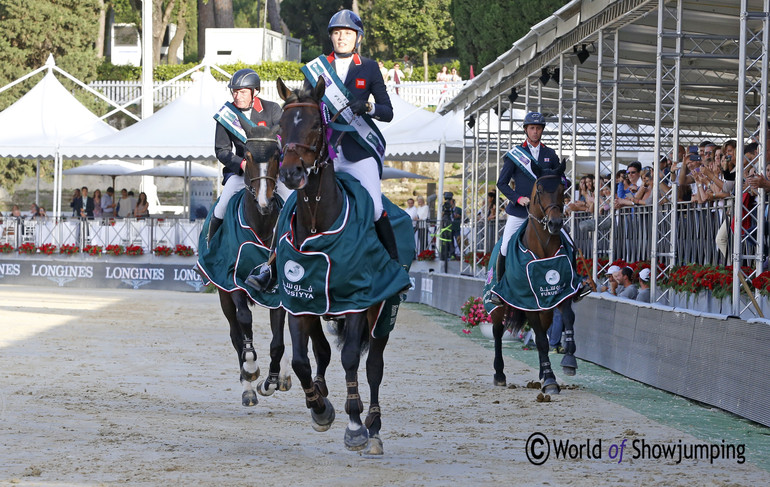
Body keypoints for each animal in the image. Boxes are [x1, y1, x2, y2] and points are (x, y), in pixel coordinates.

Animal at [207, 124, 292, 406]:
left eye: (277, 156)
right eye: (249, 156)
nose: (265, 202)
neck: (262, 223)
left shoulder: (279, 290)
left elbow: (278, 341)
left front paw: (272, 380)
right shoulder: (231, 282)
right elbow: (244, 324)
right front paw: (252, 370)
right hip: (223, 295)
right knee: (236, 335)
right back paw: (247, 387)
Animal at [488, 164, 580, 396]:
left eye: (562, 188)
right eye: (539, 189)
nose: (555, 223)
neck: (544, 248)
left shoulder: (564, 292)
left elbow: (568, 319)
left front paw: (568, 360)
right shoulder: (527, 301)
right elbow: (539, 340)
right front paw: (550, 380)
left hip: (546, 310)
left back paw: (541, 372)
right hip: (498, 306)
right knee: (498, 333)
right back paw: (500, 375)